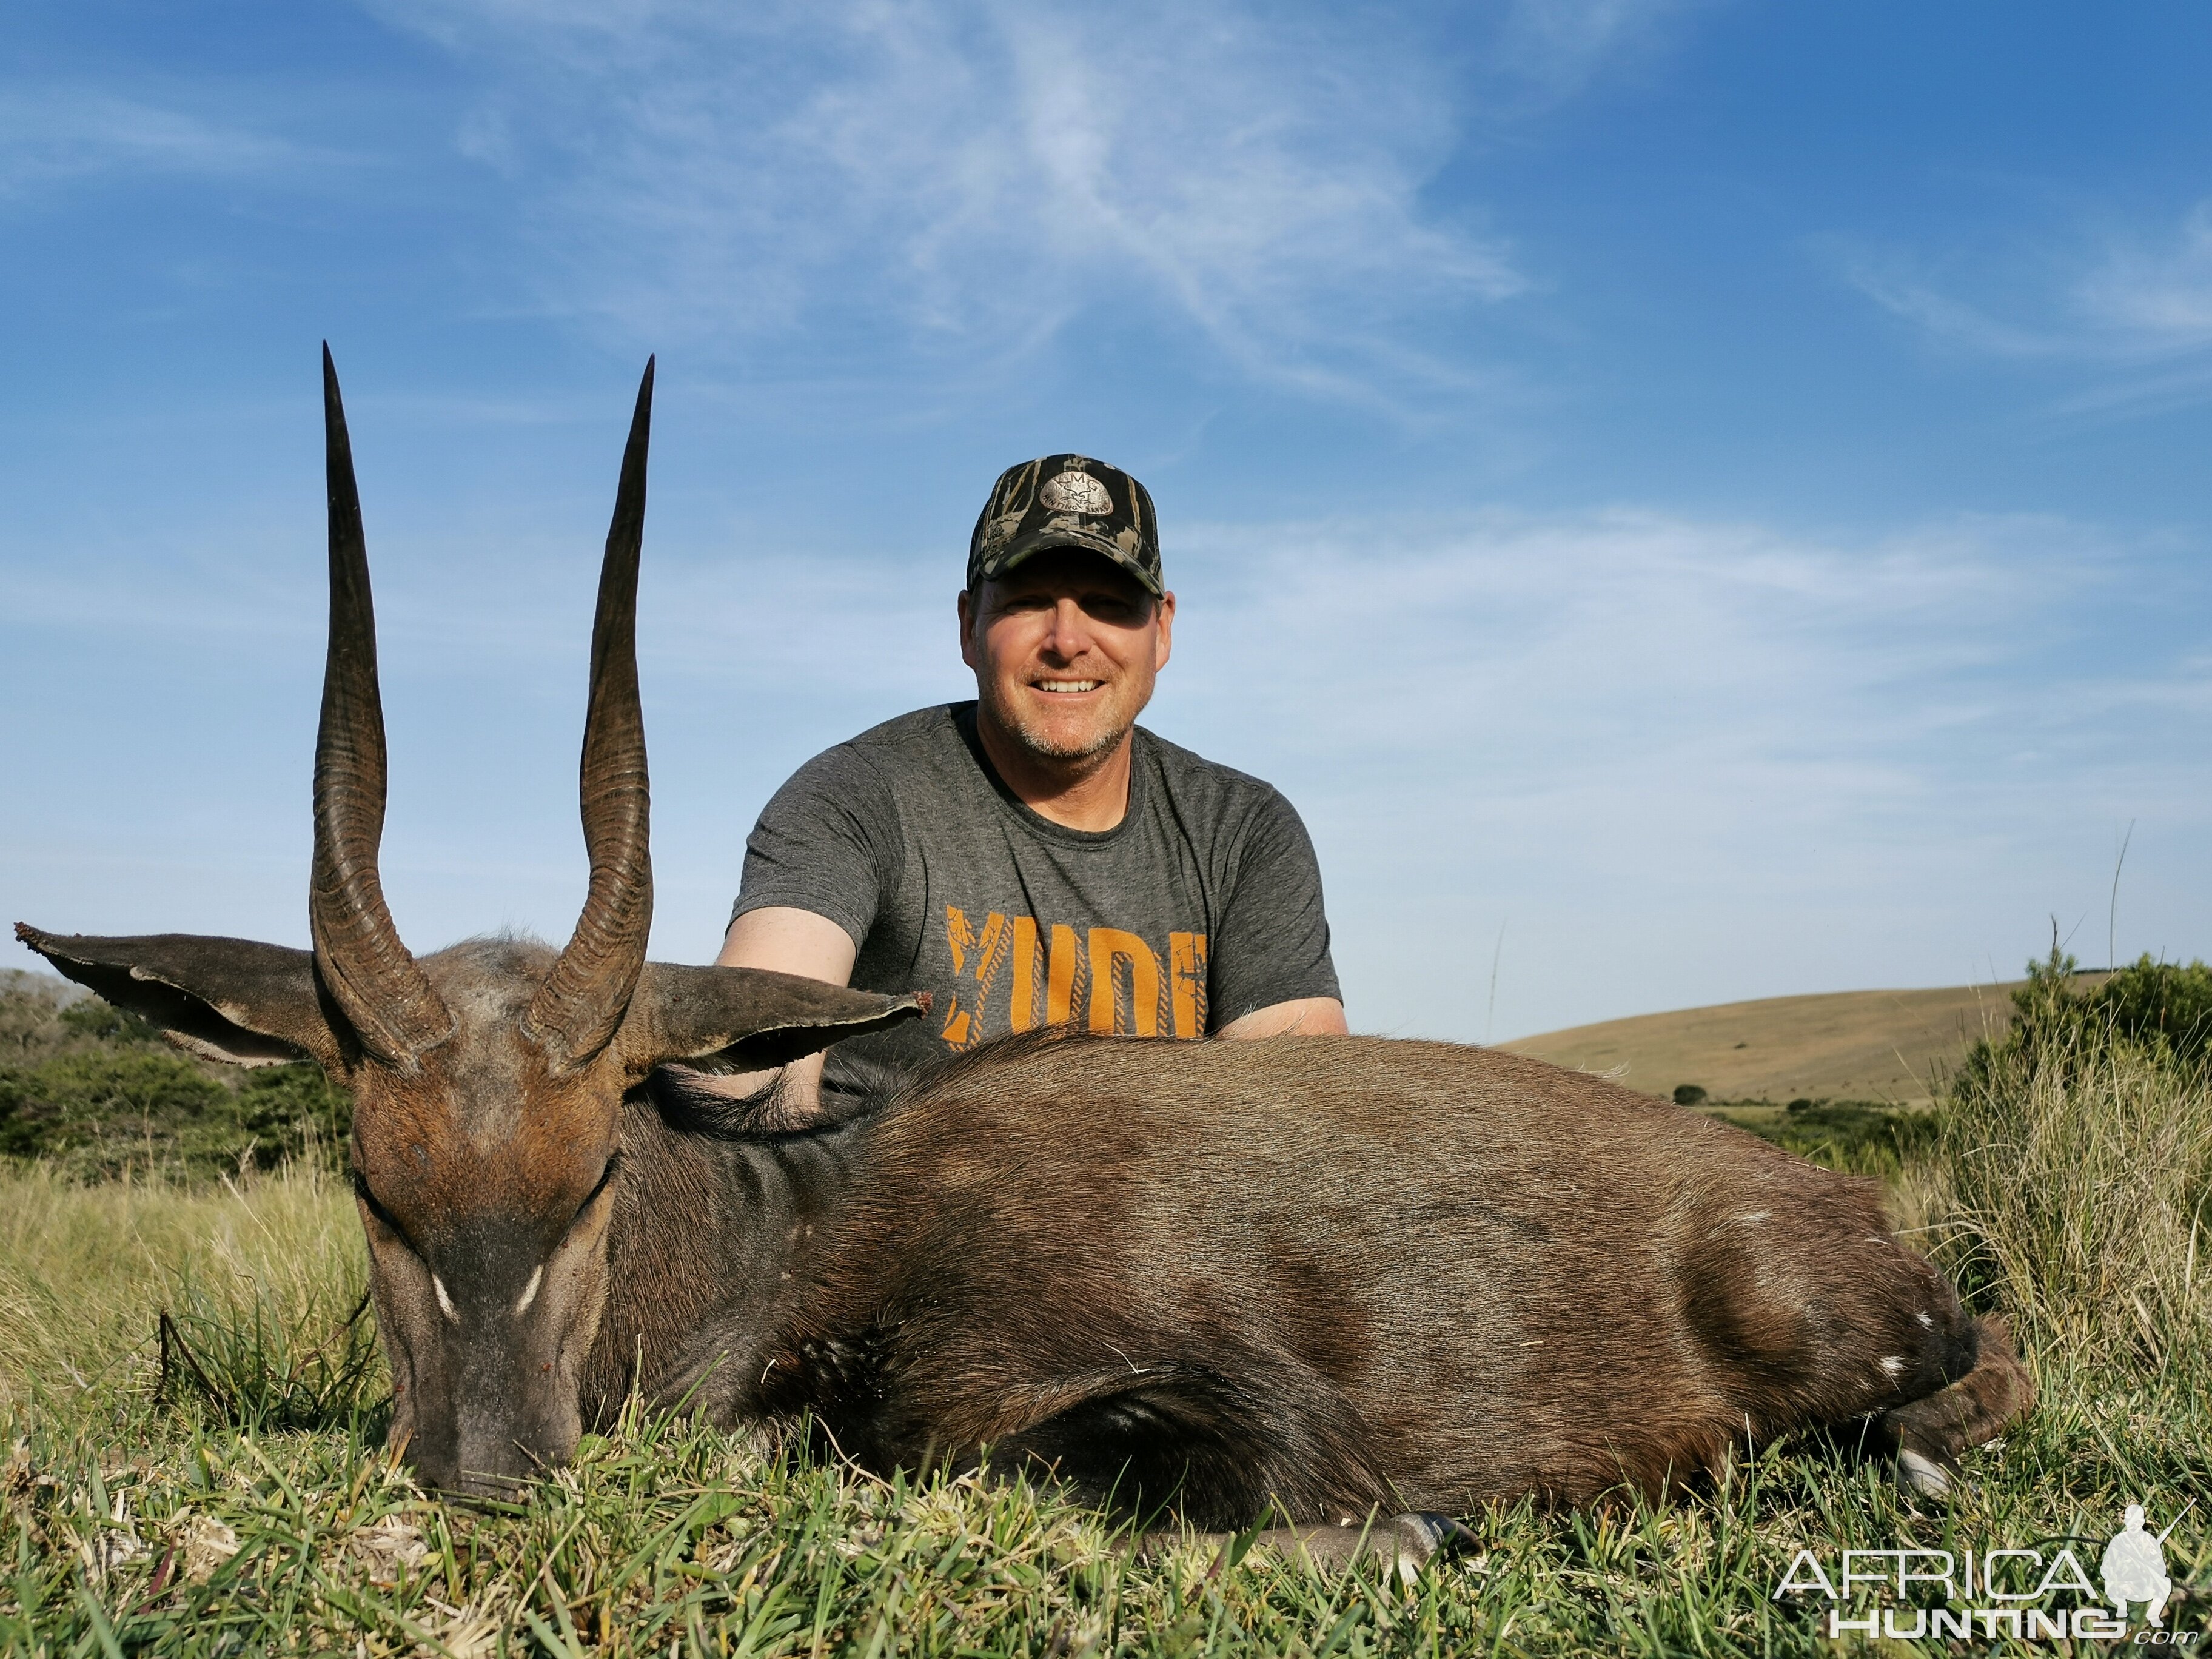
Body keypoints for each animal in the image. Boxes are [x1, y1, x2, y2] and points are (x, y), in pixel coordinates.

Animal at [17, 358, 2026, 1575]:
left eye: (591, 1174)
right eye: (375, 1178)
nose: (494, 1481)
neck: (805, 1223)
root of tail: (1859, 1226)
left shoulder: (1218, 1417)